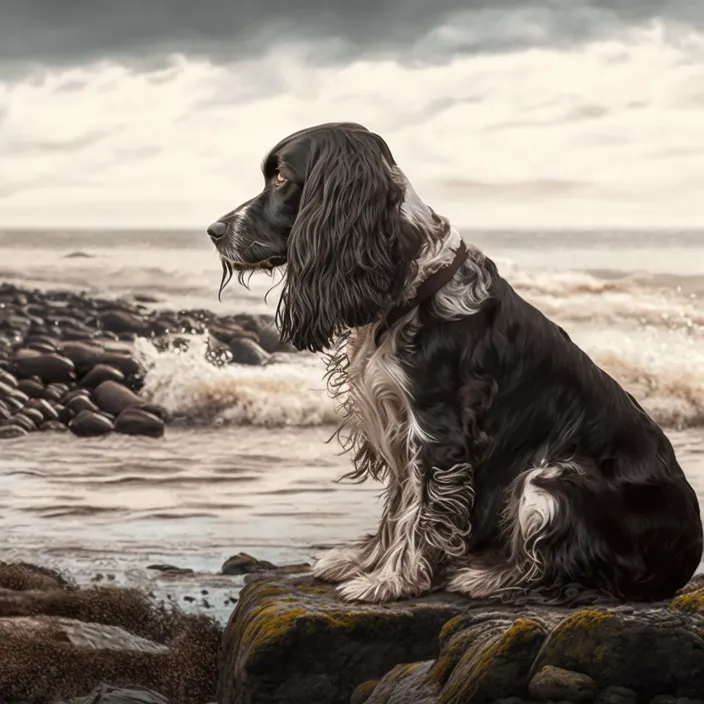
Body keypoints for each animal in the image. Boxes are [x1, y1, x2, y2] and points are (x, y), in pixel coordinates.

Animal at [206, 121, 700, 604]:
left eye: (281, 178)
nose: (213, 230)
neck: (407, 285)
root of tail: (688, 553)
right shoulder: (396, 421)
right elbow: (398, 505)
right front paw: (364, 562)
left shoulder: (437, 427)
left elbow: (421, 510)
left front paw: (391, 580)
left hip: (550, 481)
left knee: (560, 572)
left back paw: (487, 577)